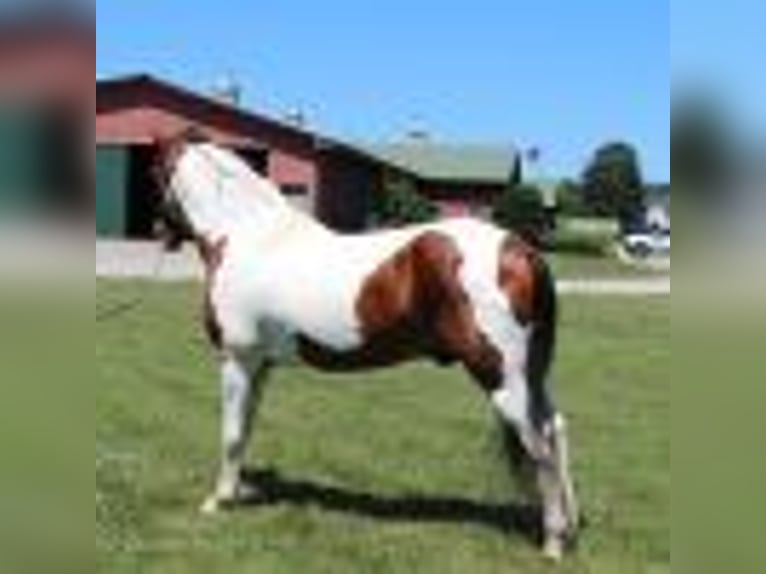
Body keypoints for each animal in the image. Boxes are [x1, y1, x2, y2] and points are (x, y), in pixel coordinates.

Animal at [153, 132, 580, 564]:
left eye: (154, 169)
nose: (159, 229)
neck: (248, 236)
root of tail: (520, 249)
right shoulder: (261, 365)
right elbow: (246, 428)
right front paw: (236, 491)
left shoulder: (237, 360)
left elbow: (231, 431)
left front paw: (218, 501)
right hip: (528, 376)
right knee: (555, 427)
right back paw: (569, 526)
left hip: (499, 375)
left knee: (538, 444)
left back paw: (553, 543)